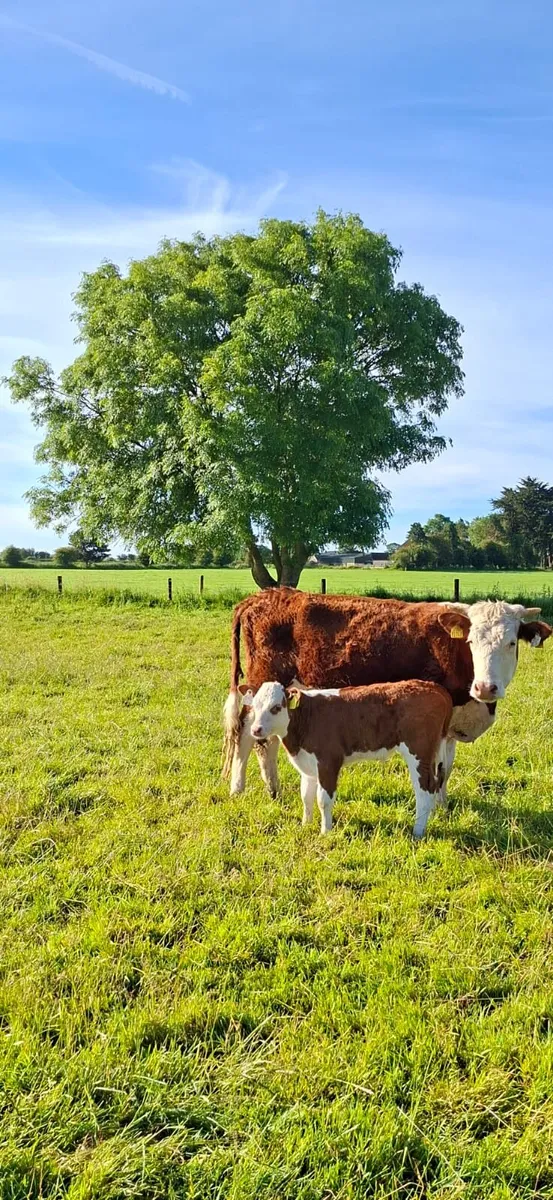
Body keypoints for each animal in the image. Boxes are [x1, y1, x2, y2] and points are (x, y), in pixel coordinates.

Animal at [222, 590, 551, 799]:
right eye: (470, 641)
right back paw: (249, 788)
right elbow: (437, 768)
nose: (485, 687)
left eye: (511, 642)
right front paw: (438, 807)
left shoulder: (452, 722)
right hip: (264, 682)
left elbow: (447, 768)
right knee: (251, 734)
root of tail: (265, 595)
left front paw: (443, 805)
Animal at [239, 679, 453, 838]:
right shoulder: (307, 764)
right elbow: (306, 796)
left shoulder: (328, 761)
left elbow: (323, 799)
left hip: (418, 753)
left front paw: (325, 833)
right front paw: (306, 825)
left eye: (276, 707)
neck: (307, 718)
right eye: (254, 706)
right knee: (434, 784)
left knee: (424, 790)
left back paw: (417, 832)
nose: (256, 729)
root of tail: (433, 687)